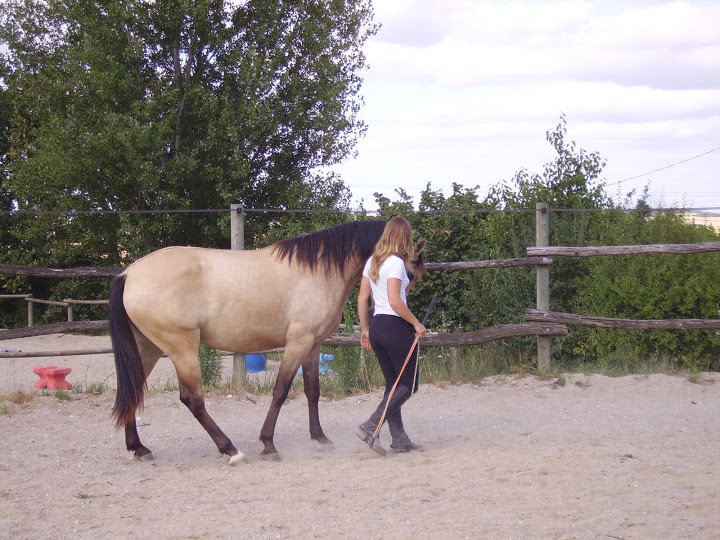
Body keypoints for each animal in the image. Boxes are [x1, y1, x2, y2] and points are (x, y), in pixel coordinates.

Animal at [109, 219, 424, 464]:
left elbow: (312, 391)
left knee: (133, 391)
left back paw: (139, 448)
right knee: (192, 399)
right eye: (410, 271)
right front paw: (268, 445)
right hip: (181, 348)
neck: (317, 270)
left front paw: (320, 438)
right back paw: (231, 450)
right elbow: (281, 391)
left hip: (147, 348)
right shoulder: (297, 342)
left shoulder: (313, 345)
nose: (407, 316)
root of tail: (129, 273)